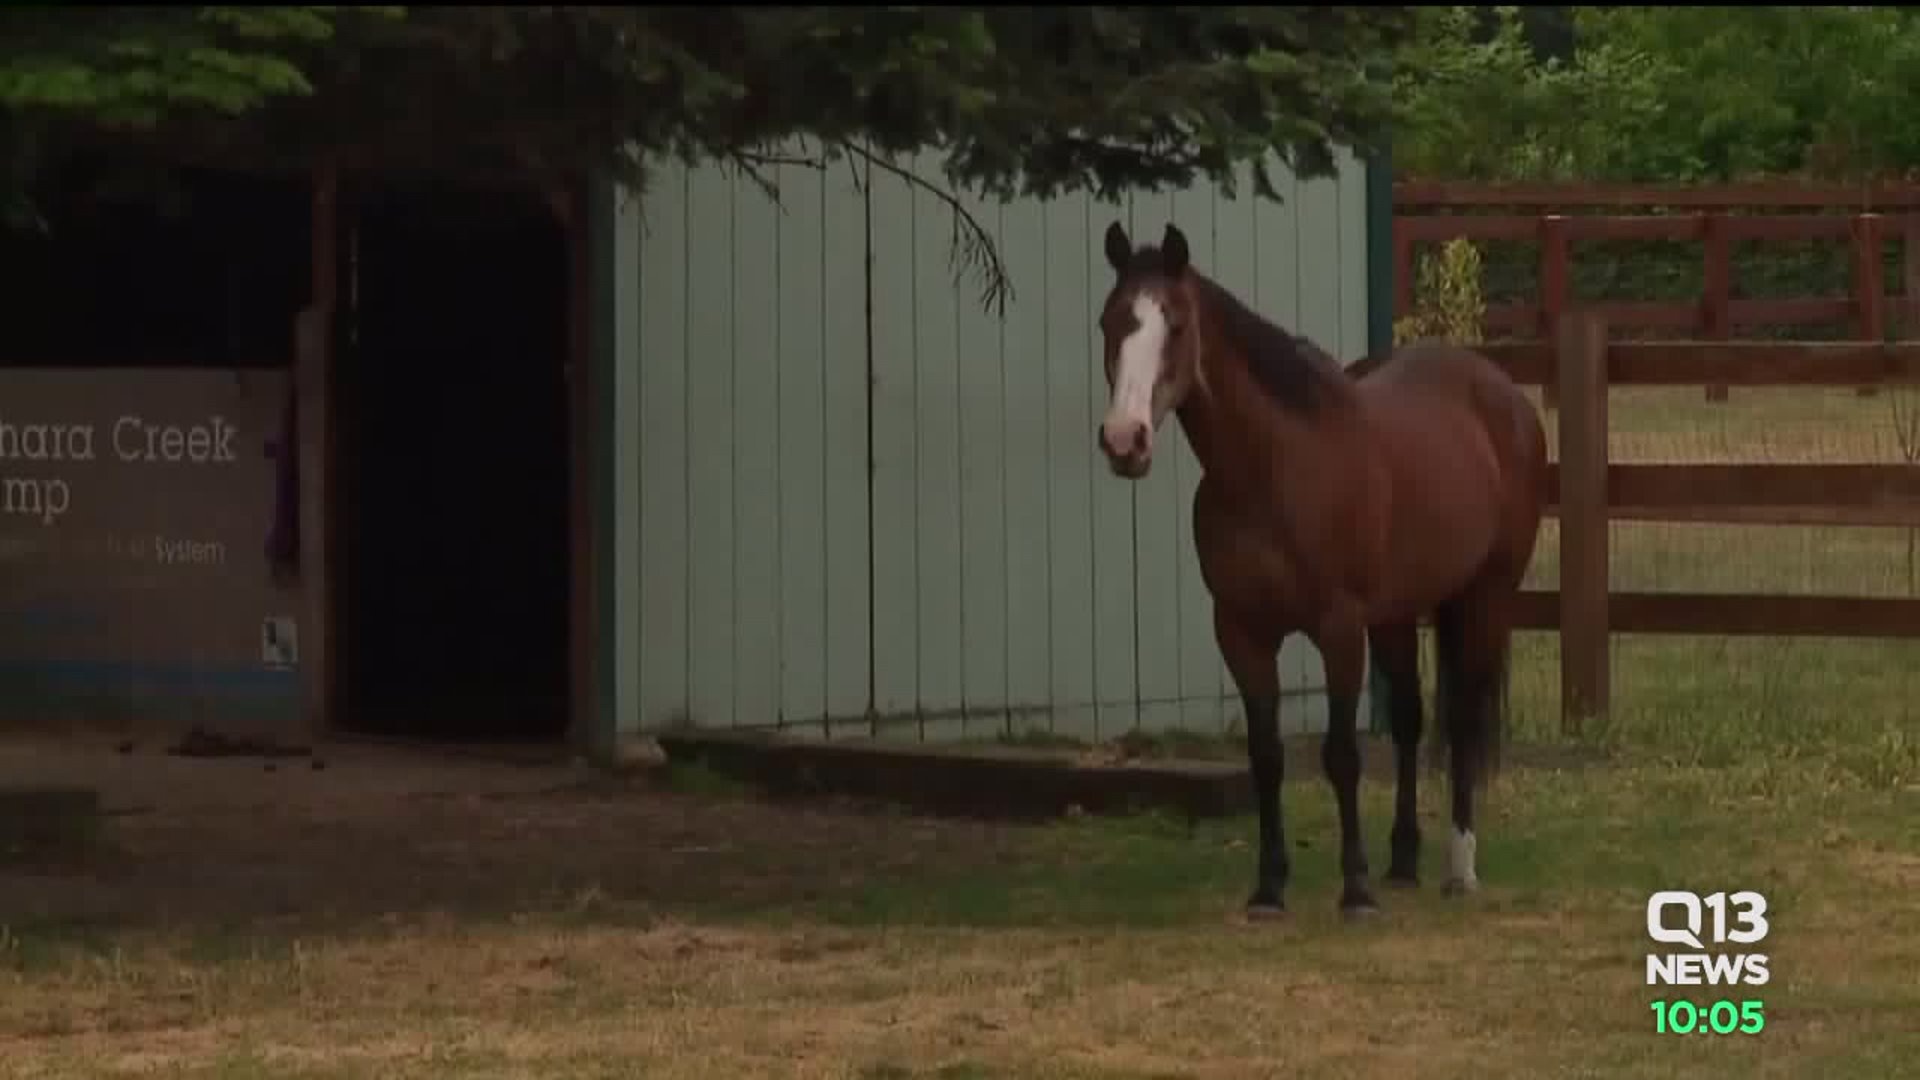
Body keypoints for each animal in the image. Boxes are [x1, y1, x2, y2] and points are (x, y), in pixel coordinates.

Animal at [1095, 221, 1548, 919]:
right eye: (1109, 323)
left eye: (1174, 323)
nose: (1125, 440)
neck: (1272, 469)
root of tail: (1504, 396)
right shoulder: (1242, 632)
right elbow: (1267, 757)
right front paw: (1270, 887)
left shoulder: (1338, 629)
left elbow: (1341, 755)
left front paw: (1355, 889)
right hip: (1395, 615)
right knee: (1411, 721)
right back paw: (1404, 861)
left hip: (1485, 597)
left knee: (1464, 721)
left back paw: (1459, 868)